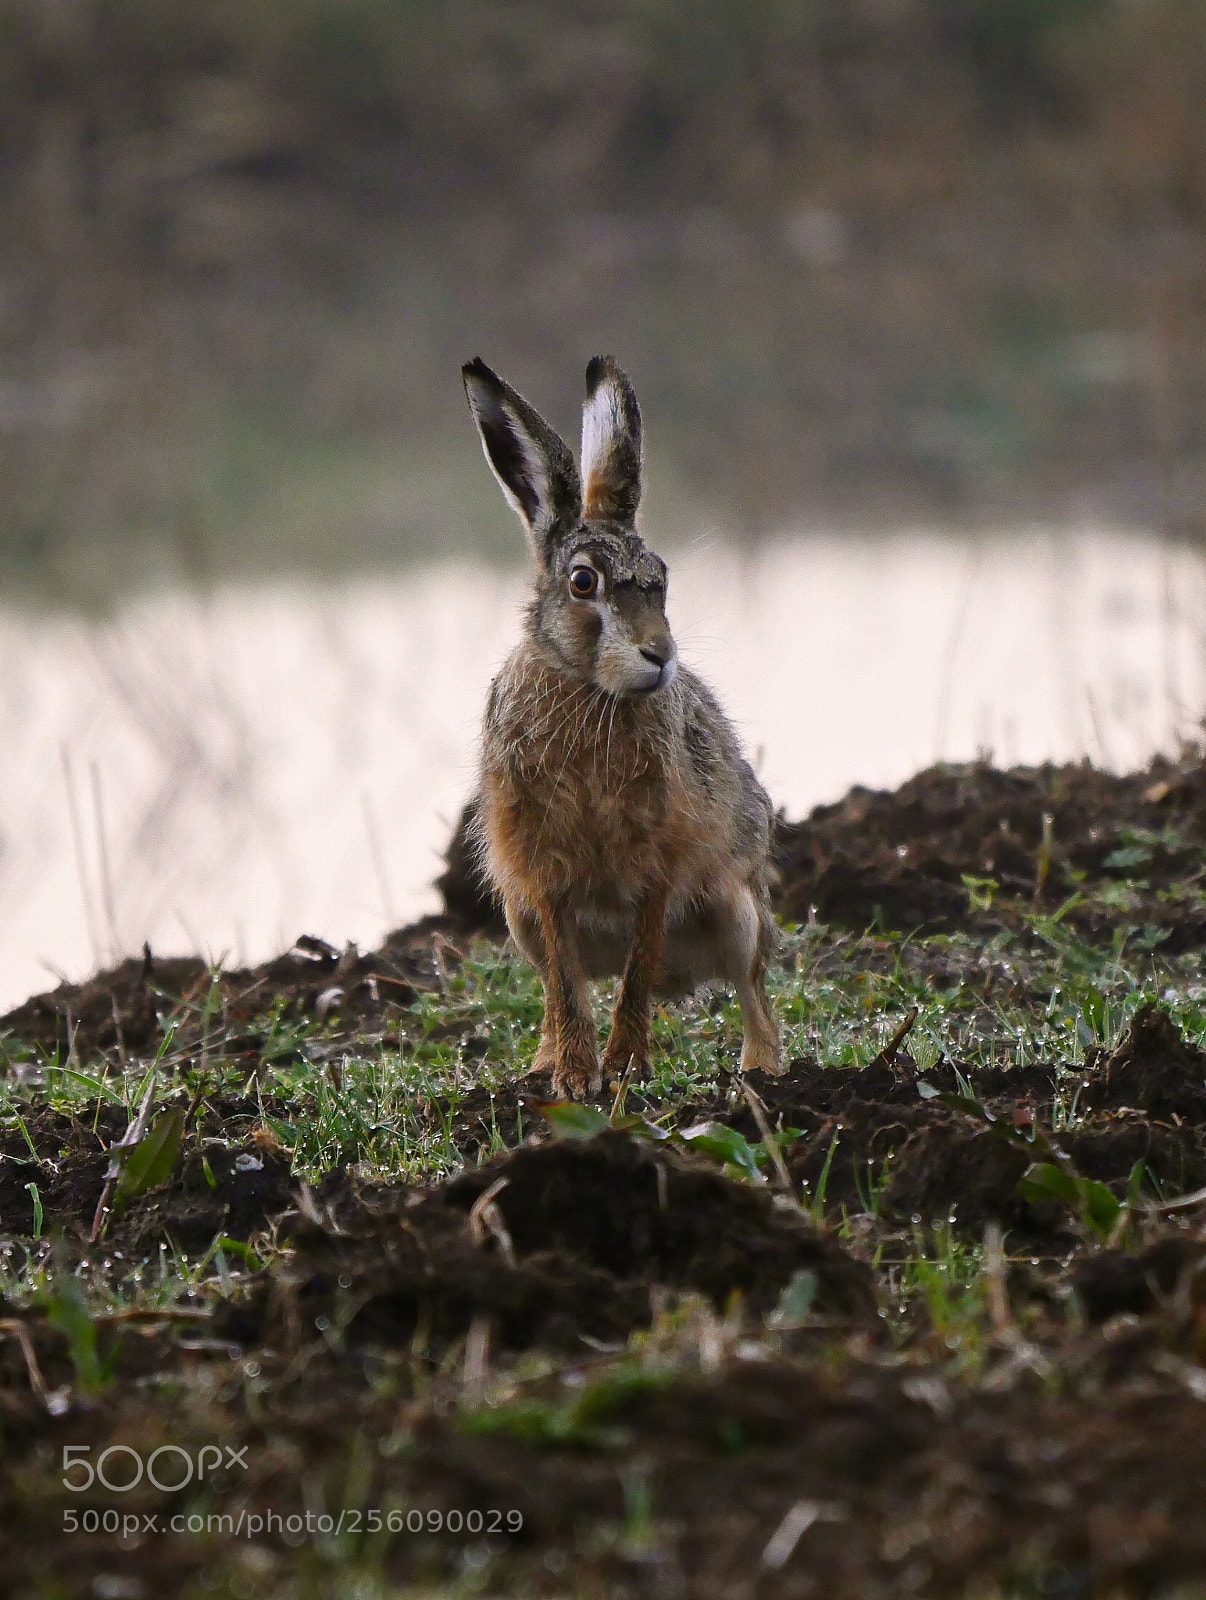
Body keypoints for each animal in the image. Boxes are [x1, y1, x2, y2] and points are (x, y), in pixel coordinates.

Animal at [462, 354, 782, 1099]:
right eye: (584, 583)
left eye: (662, 579)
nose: (660, 656)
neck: (590, 689)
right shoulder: (541, 879)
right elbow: (566, 985)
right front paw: (576, 1079)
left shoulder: (658, 866)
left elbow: (636, 974)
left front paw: (624, 1070)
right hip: (517, 919)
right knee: (558, 990)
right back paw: (542, 1064)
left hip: (739, 912)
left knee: (753, 992)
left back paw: (761, 1073)